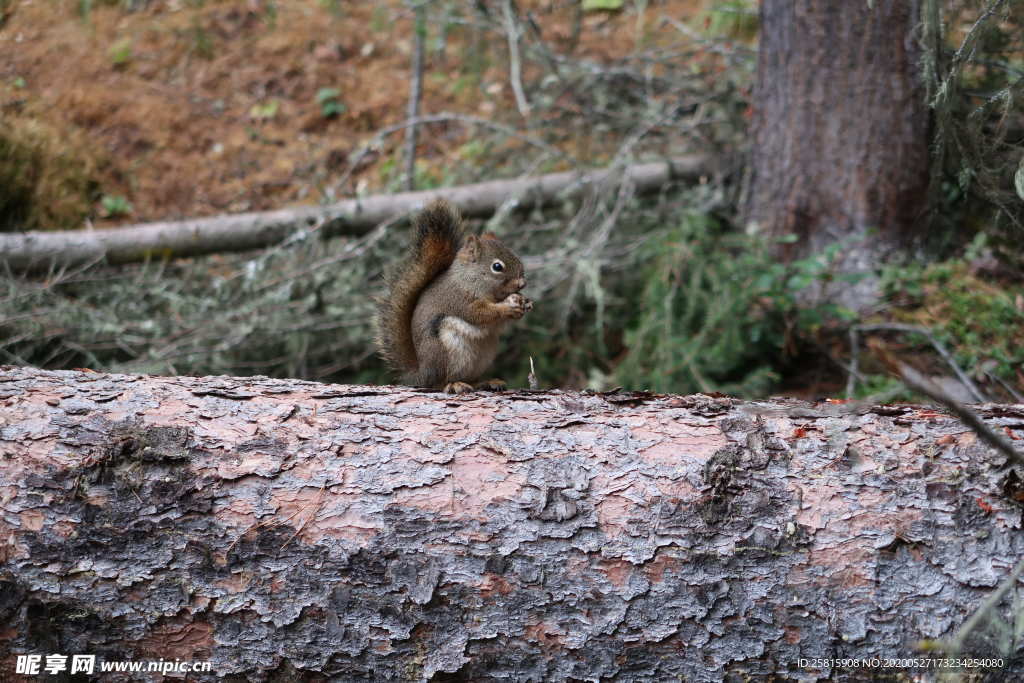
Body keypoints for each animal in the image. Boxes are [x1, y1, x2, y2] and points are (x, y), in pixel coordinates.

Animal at [378, 197, 536, 393]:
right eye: (497, 267)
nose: (522, 284)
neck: (470, 279)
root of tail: (421, 374)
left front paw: (525, 302)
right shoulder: (459, 299)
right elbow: (478, 313)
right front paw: (508, 307)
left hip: (483, 356)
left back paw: (487, 382)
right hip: (444, 352)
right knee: (439, 383)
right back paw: (454, 384)